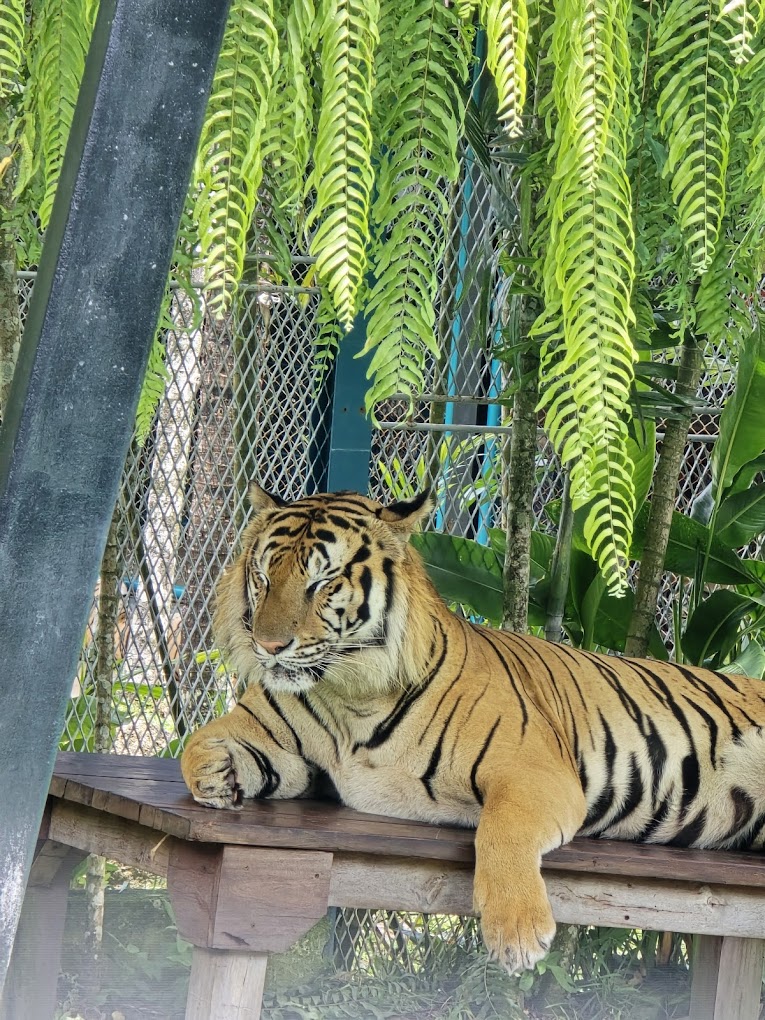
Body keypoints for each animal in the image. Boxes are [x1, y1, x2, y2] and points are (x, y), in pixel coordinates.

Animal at [181, 485, 765, 974]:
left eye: (321, 582)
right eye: (263, 576)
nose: (268, 646)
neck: (351, 696)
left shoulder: (533, 771)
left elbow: (501, 830)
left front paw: (518, 934)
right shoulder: (277, 743)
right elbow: (195, 744)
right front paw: (219, 778)